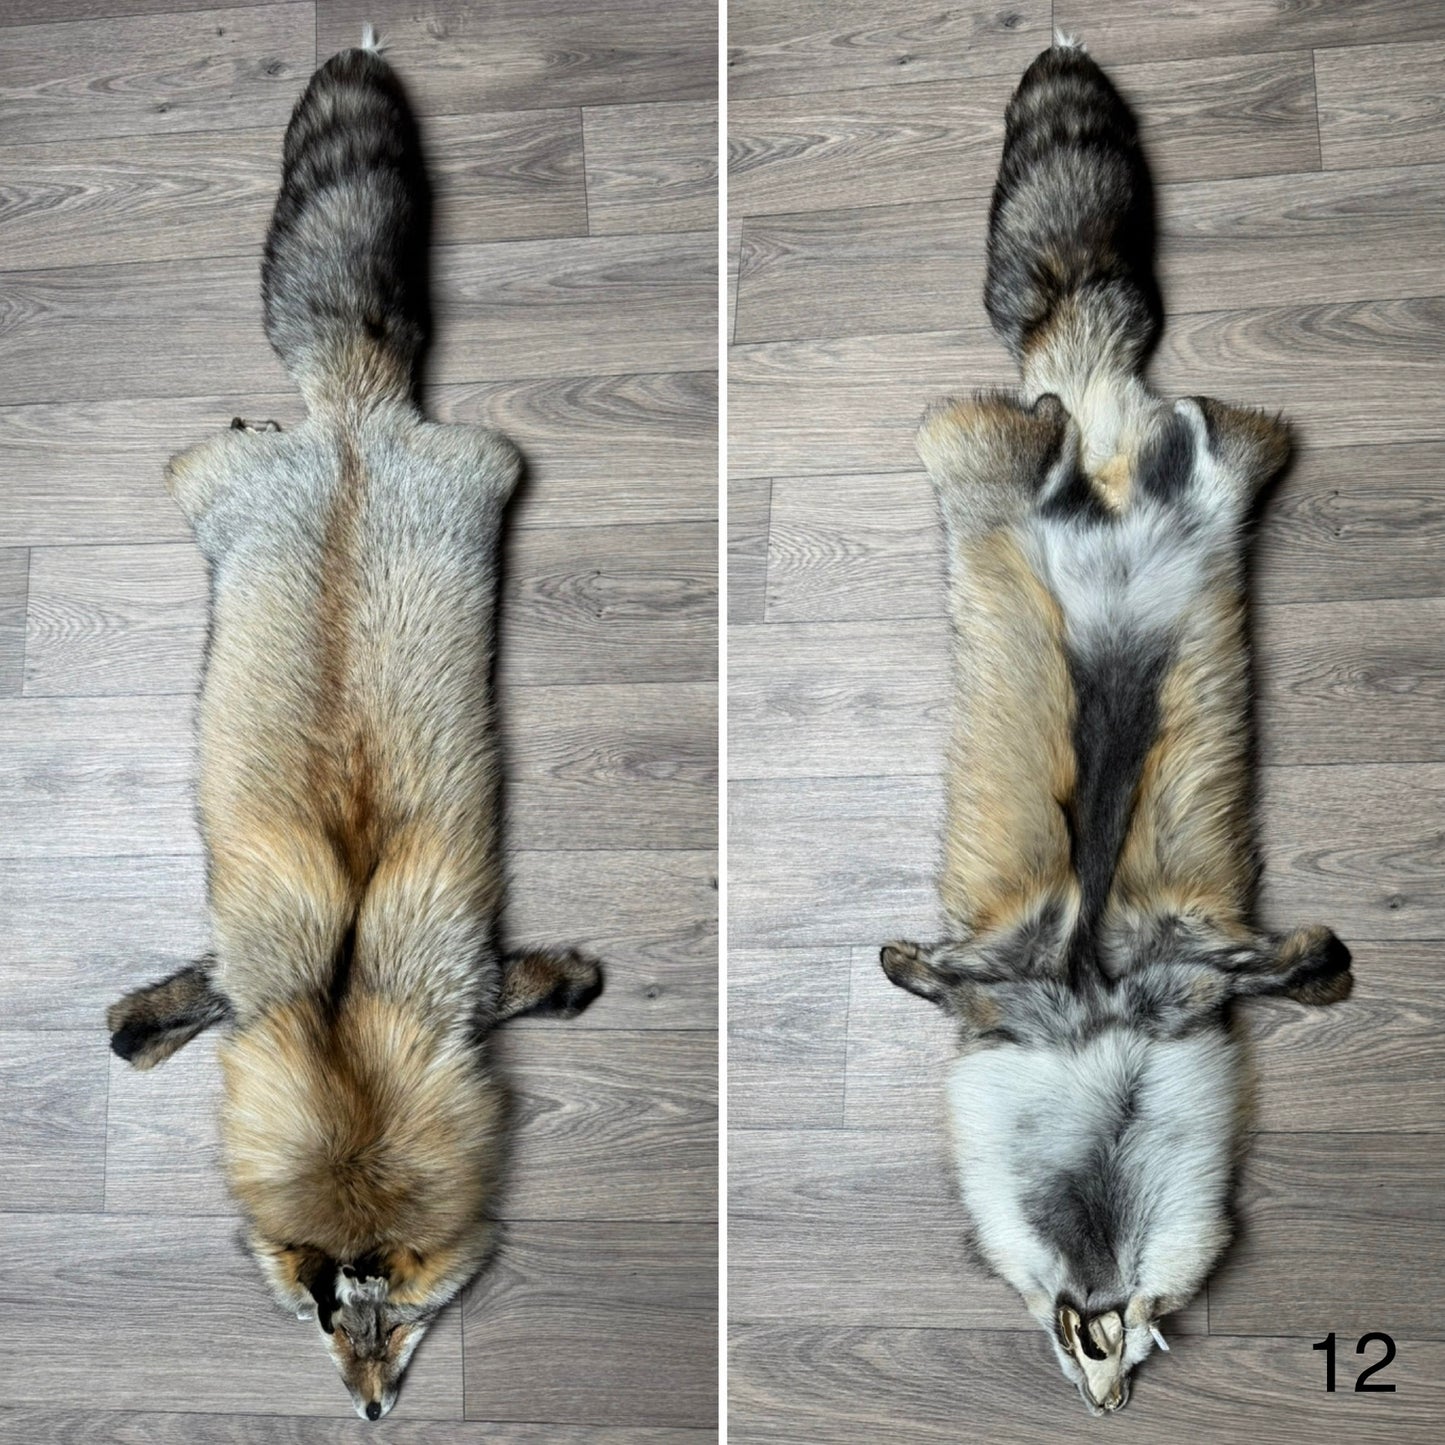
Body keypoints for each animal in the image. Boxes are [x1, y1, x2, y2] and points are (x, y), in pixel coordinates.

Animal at [106, 31, 603, 1420]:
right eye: (325, 1321)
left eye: (405, 1321)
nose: (373, 1412)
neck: (335, 1021)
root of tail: (352, 427)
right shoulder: (250, 981)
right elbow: (161, 1012)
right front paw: (135, 1029)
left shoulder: (464, 984)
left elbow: (542, 982)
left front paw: (580, 982)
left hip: (473, 471)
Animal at [882, 39, 1352, 1415]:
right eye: (1088, 1344)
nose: (1108, 1400)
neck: (1095, 1018)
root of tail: (1093, 428)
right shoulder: (1025, 973)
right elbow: (929, 969)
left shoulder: (1176, 966)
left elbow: (1278, 960)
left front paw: (1323, 969)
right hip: (1012, 468)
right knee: (1115, 416)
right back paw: (1056, 415)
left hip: (1176, 479)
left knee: (1176, 417)